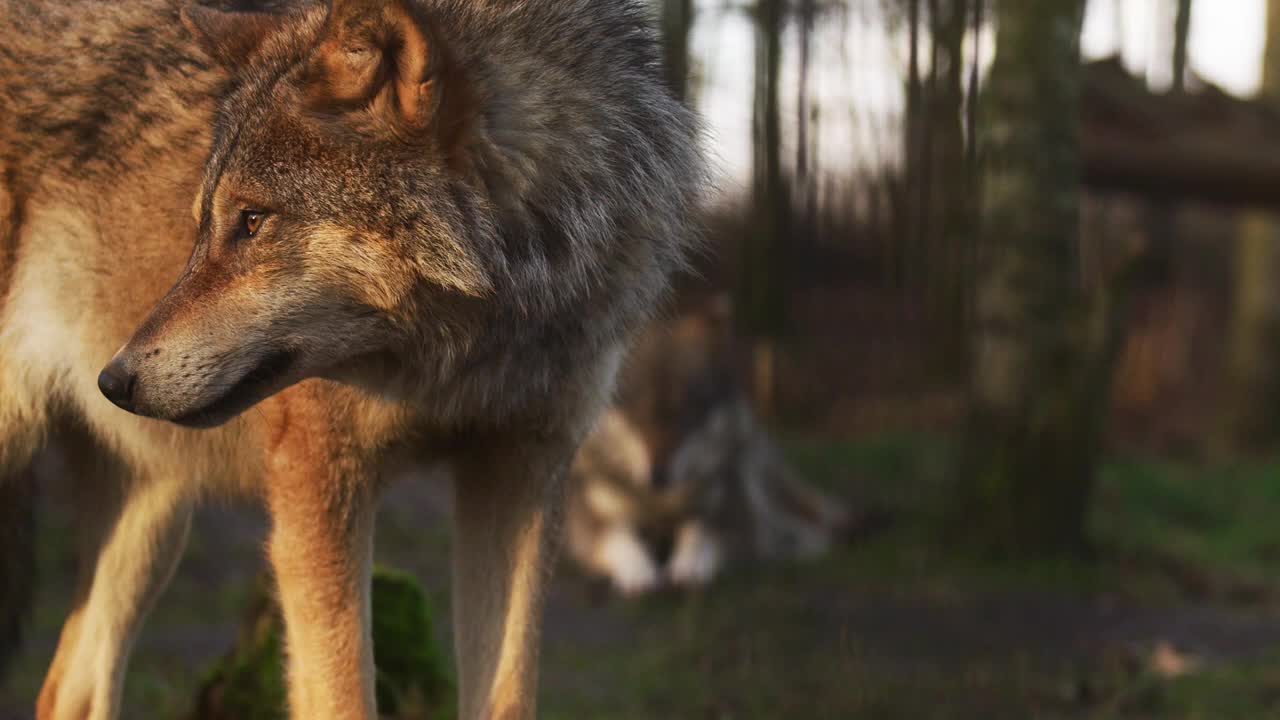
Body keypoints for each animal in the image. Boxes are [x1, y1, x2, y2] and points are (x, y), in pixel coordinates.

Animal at [0, 1, 701, 717]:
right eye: (204, 224)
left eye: (251, 220)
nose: (114, 380)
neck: (469, 357)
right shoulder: (318, 484)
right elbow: (342, 694)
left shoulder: (522, 475)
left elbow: (506, 694)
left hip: (156, 513)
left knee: (68, 688)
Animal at [568, 297, 849, 594]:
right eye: (637, 414)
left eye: (686, 414)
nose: (658, 475)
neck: (660, 504)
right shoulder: (590, 517)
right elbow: (619, 536)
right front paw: (638, 571)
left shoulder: (723, 506)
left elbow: (701, 528)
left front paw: (690, 565)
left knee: (798, 520)